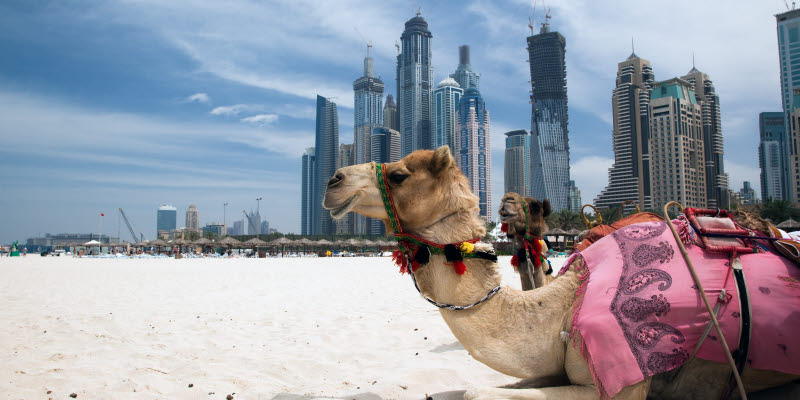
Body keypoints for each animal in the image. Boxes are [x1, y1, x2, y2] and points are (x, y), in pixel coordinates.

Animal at [322, 147, 796, 400]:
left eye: (400, 174)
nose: (333, 179)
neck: (565, 304)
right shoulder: (551, 366)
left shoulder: (623, 386)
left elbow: (475, 390)